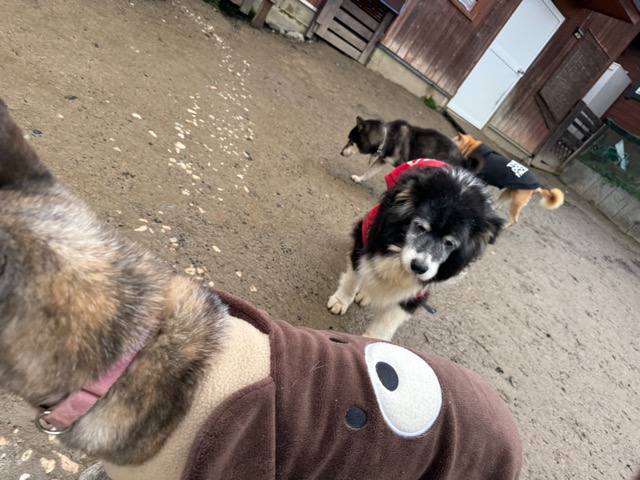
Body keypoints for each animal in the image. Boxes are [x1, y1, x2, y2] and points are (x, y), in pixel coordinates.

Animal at [328, 158, 504, 341]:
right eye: (420, 227)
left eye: (449, 243)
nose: (418, 267)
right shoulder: (364, 239)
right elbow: (354, 276)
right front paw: (341, 300)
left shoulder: (420, 289)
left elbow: (389, 320)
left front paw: (371, 341)